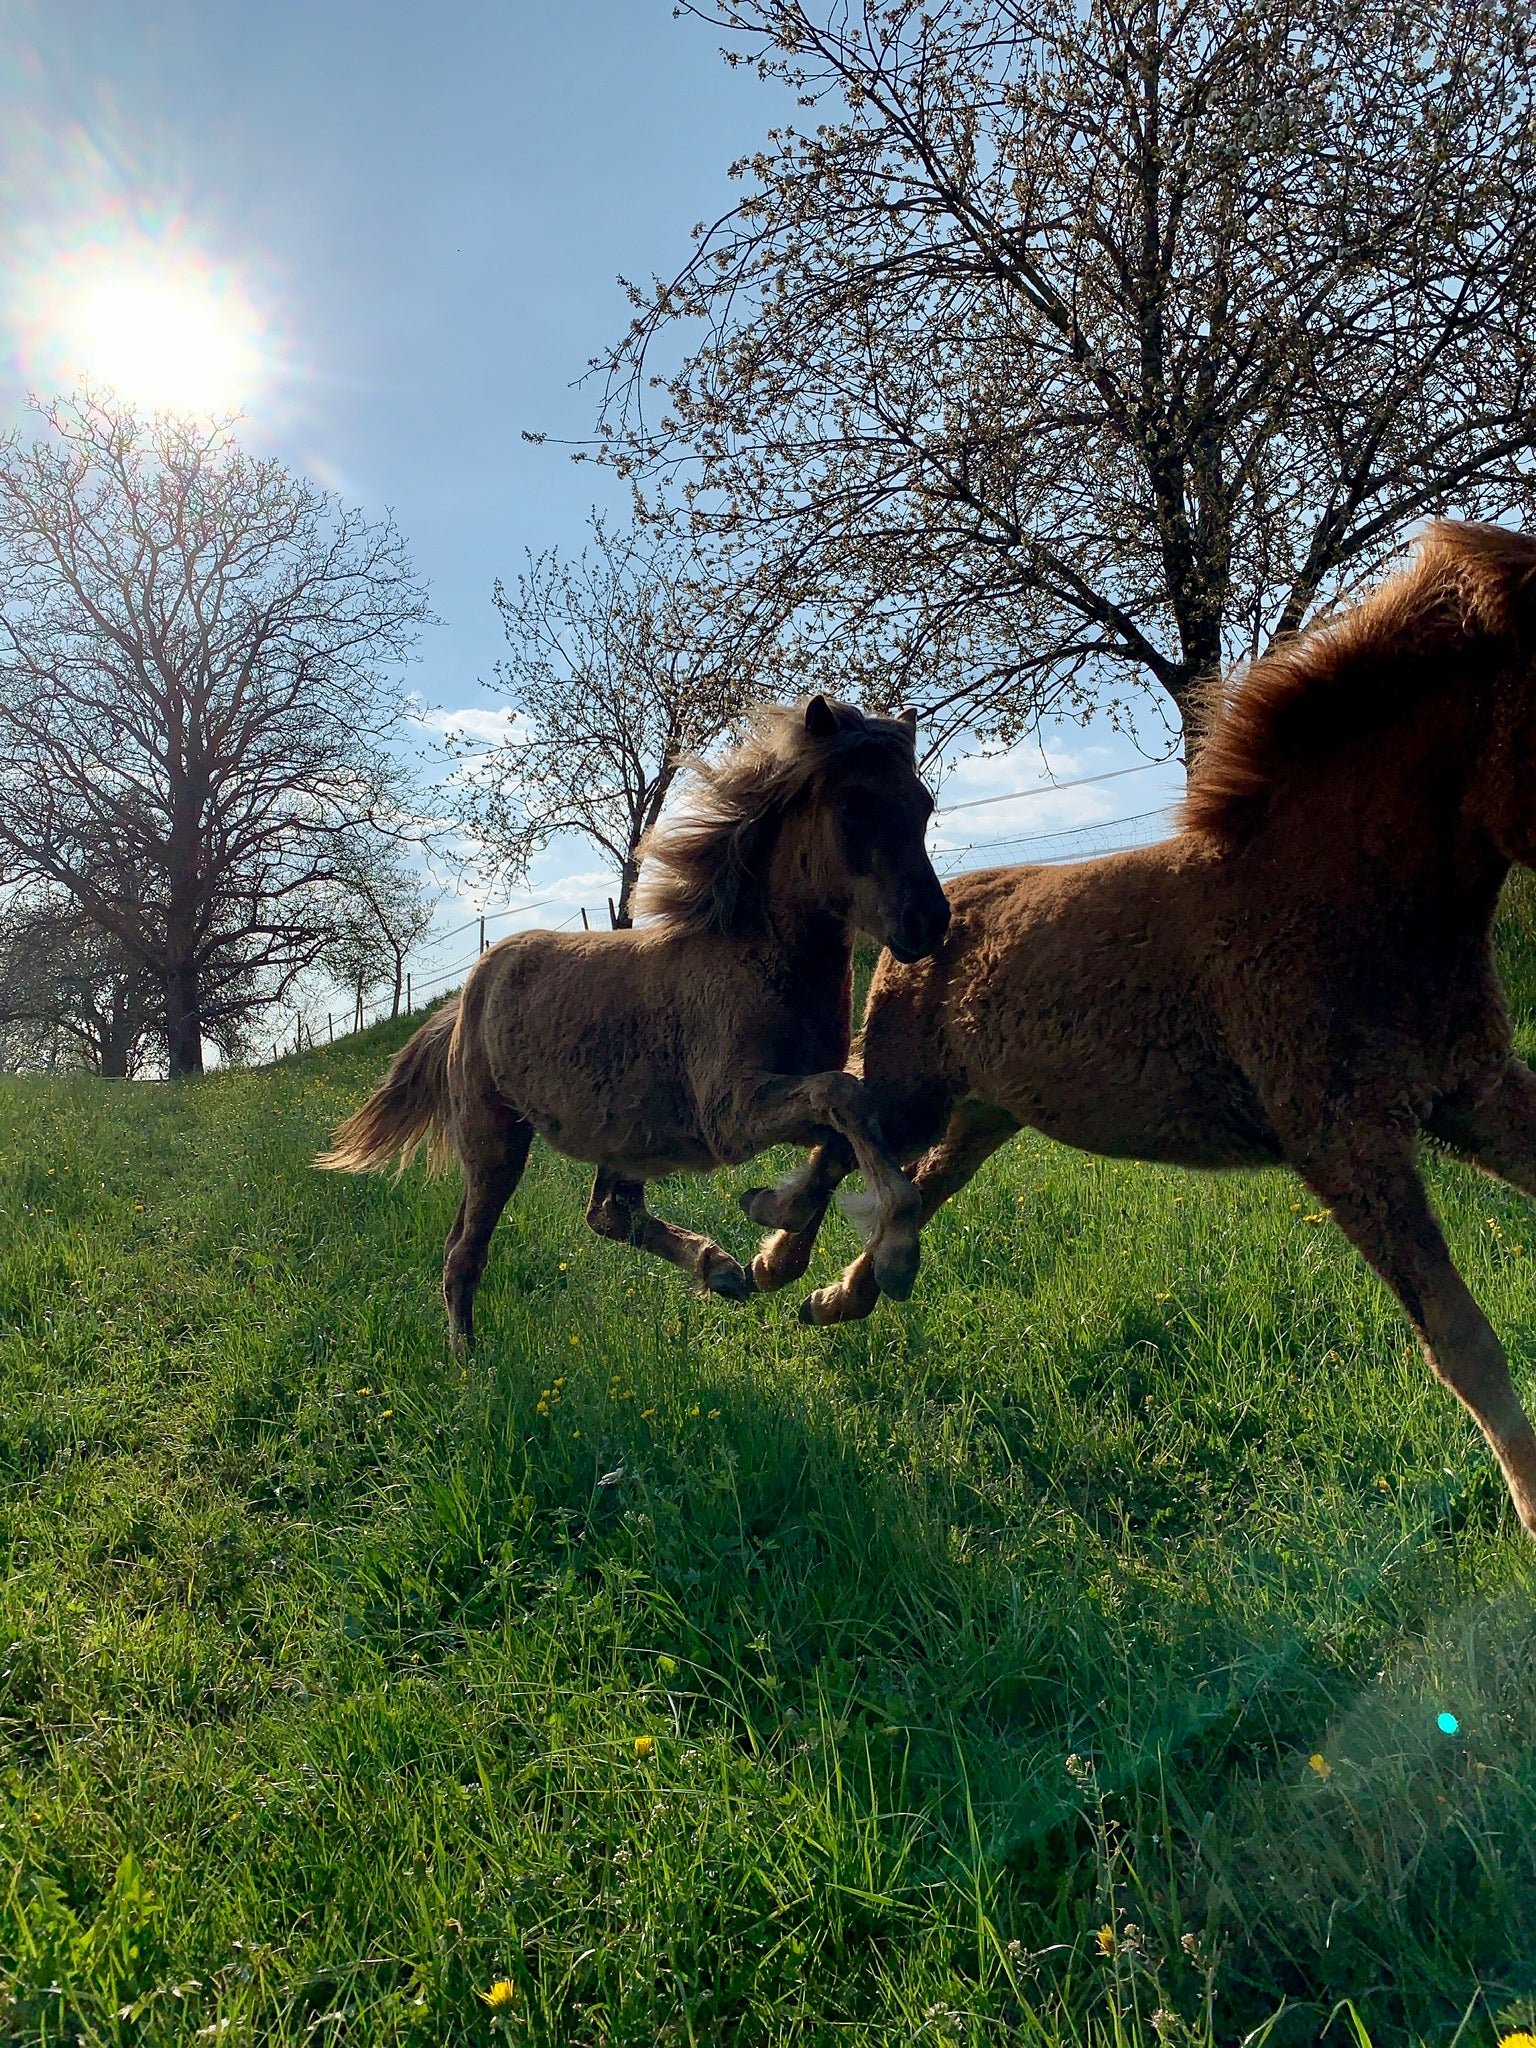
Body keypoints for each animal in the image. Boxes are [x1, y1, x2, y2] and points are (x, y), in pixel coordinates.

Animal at [321, 700, 950, 1359]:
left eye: (924, 804)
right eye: (853, 805)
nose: (929, 921)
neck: (755, 962)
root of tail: (467, 993)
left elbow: (849, 1132)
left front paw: (773, 1228)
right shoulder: (730, 1112)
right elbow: (845, 1099)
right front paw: (896, 1255)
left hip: (621, 1136)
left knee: (605, 1214)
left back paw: (722, 1270)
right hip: (495, 1139)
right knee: (466, 1252)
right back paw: (469, 1363)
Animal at [753, 528, 1536, 1540]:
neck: (1352, 893)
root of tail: (917, 924)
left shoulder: (1475, 1089)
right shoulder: (1345, 1137)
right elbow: (1461, 1338)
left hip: (988, 1115)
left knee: (915, 1181)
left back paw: (844, 1291)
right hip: (911, 1088)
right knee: (840, 1134)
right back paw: (773, 1260)